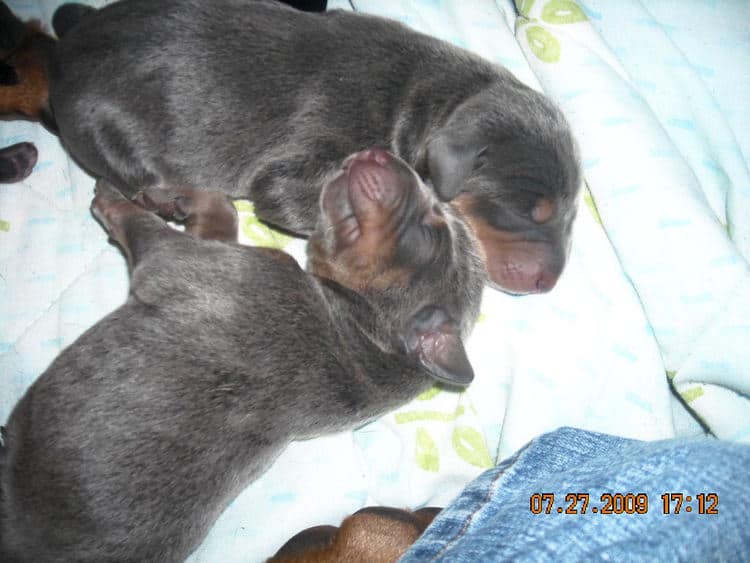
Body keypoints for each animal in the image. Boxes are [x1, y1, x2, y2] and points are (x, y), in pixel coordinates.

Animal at [0, 1, 580, 296]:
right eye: (527, 211)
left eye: (571, 214)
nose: (549, 285)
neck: (432, 101)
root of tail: (62, 59)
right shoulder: (291, 172)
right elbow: (293, 198)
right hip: (104, 130)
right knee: (131, 177)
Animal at [0, 149, 482, 563]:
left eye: (431, 229)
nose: (382, 152)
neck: (361, 333)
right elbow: (222, 215)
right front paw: (177, 196)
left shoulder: (185, 263)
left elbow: (143, 226)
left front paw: (113, 195)